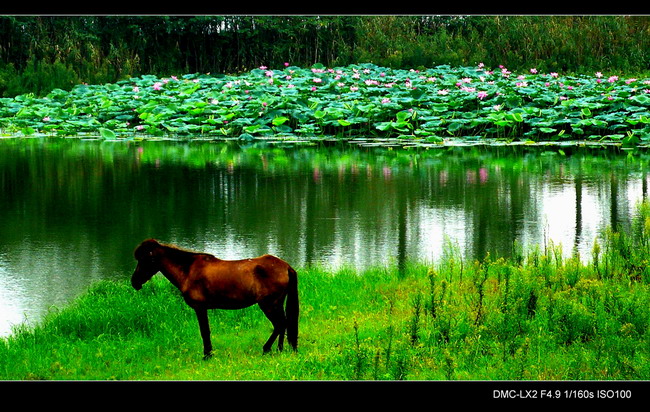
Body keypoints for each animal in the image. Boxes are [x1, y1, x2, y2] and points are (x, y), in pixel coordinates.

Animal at [132, 240, 298, 358]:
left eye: (144, 259)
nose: (134, 281)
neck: (189, 270)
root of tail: (286, 266)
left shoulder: (200, 308)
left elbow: (205, 331)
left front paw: (207, 355)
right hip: (277, 303)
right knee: (283, 323)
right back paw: (280, 349)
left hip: (269, 304)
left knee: (279, 324)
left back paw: (267, 349)